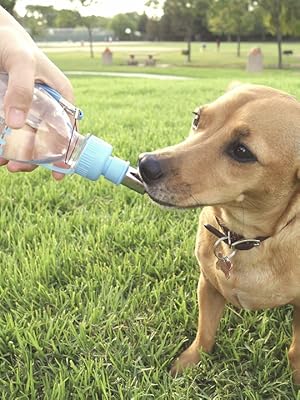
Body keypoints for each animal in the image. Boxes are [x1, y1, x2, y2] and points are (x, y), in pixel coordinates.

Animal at [139, 83, 300, 382]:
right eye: (196, 118)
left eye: (242, 151)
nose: (145, 164)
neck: (243, 238)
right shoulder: (208, 284)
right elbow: (205, 331)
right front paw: (191, 361)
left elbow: (296, 350)